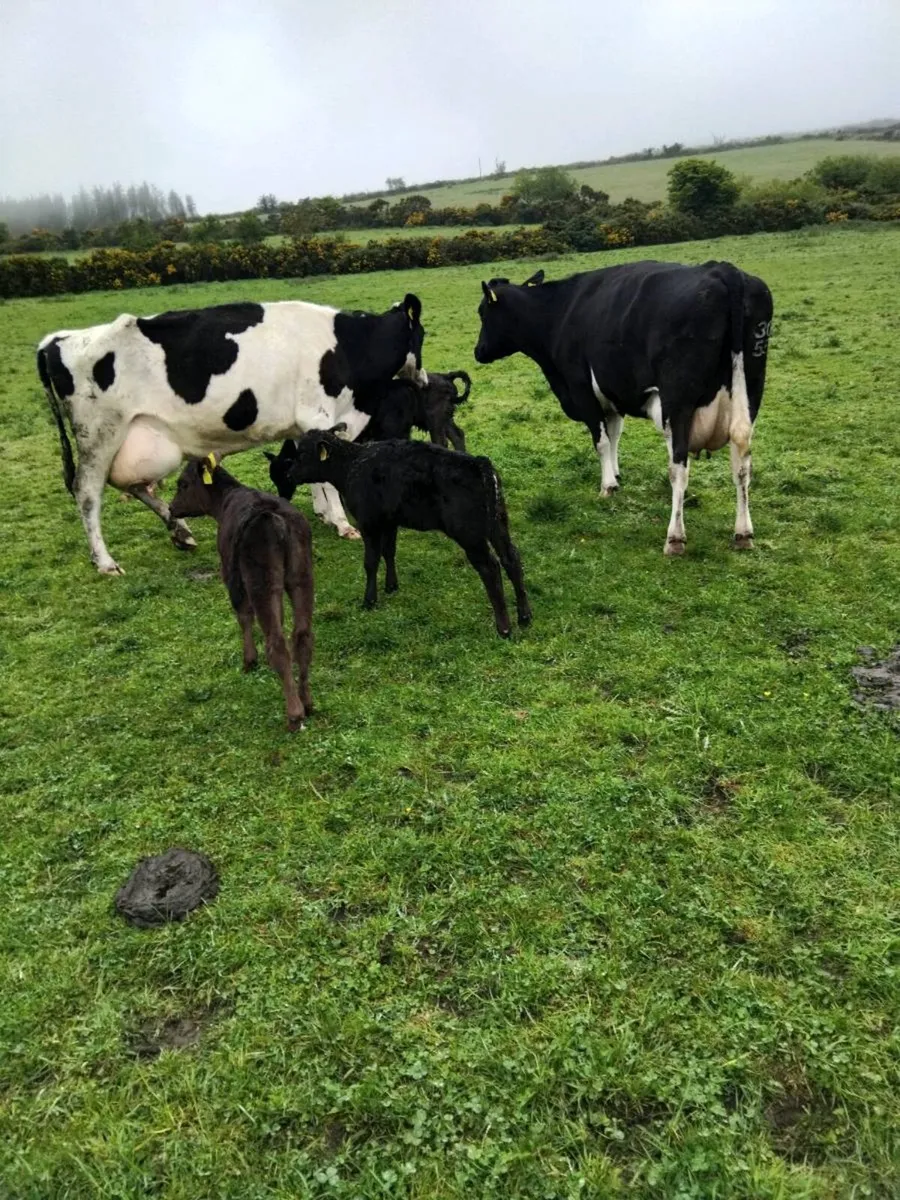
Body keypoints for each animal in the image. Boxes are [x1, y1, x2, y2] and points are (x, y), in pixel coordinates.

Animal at [37, 294, 426, 575]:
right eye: (421, 336)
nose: (422, 380)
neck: (347, 346)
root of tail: (60, 339)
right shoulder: (318, 413)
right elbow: (326, 476)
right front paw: (343, 524)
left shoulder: (308, 425)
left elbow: (313, 469)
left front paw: (324, 514)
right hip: (99, 435)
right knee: (88, 494)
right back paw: (105, 562)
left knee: (135, 486)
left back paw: (181, 531)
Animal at [169, 455, 314, 731]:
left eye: (182, 484)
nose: (171, 509)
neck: (227, 498)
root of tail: (272, 515)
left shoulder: (230, 575)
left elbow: (243, 616)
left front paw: (249, 660)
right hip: (301, 577)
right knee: (302, 637)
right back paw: (308, 703)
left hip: (260, 582)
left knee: (277, 643)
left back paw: (294, 714)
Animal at [281, 425, 531, 638]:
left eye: (302, 454)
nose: (290, 474)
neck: (353, 464)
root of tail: (479, 463)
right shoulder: (390, 521)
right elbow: (389, 552)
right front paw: (391, 586)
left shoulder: (369, 523)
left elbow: (371, 561)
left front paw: (369, 600)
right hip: (498, 524)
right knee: (511, 558)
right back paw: (525, 617)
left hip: (470, 535)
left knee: (490, 568)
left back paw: (504, 628)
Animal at [473, 261, 773, 555]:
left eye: (482, 313)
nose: (478, 351)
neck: (557, 314)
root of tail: (723, 270)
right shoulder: (611, 397)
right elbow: (615, 434)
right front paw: (616, 473)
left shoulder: (582, 390)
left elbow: (602, 441)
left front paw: (608, 485)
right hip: (750, 391)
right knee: (742, 460)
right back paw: (743, 532)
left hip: (678, 402)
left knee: (679, 466)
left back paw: (675, 537)